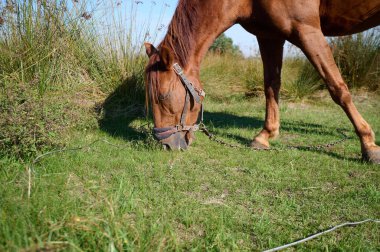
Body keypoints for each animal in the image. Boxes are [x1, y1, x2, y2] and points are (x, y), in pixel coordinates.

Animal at [145, 0, 380, 163]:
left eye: (163, 96)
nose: (166, 145)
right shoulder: (269, 36)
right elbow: (271, 86)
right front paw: (264, 136)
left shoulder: (307, 29)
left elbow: (338, 88)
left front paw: (369, 145)